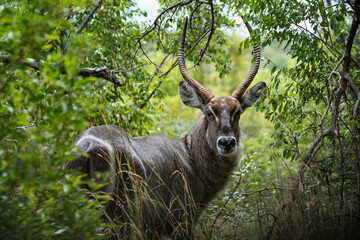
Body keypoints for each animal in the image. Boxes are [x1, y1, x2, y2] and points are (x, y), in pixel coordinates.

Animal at [66, 19, 266, 240]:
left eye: (237, 111)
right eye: (209, 112)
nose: (227, 143)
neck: (190, 156)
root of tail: (87, 146)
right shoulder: (181, 222)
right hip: (118, 220)